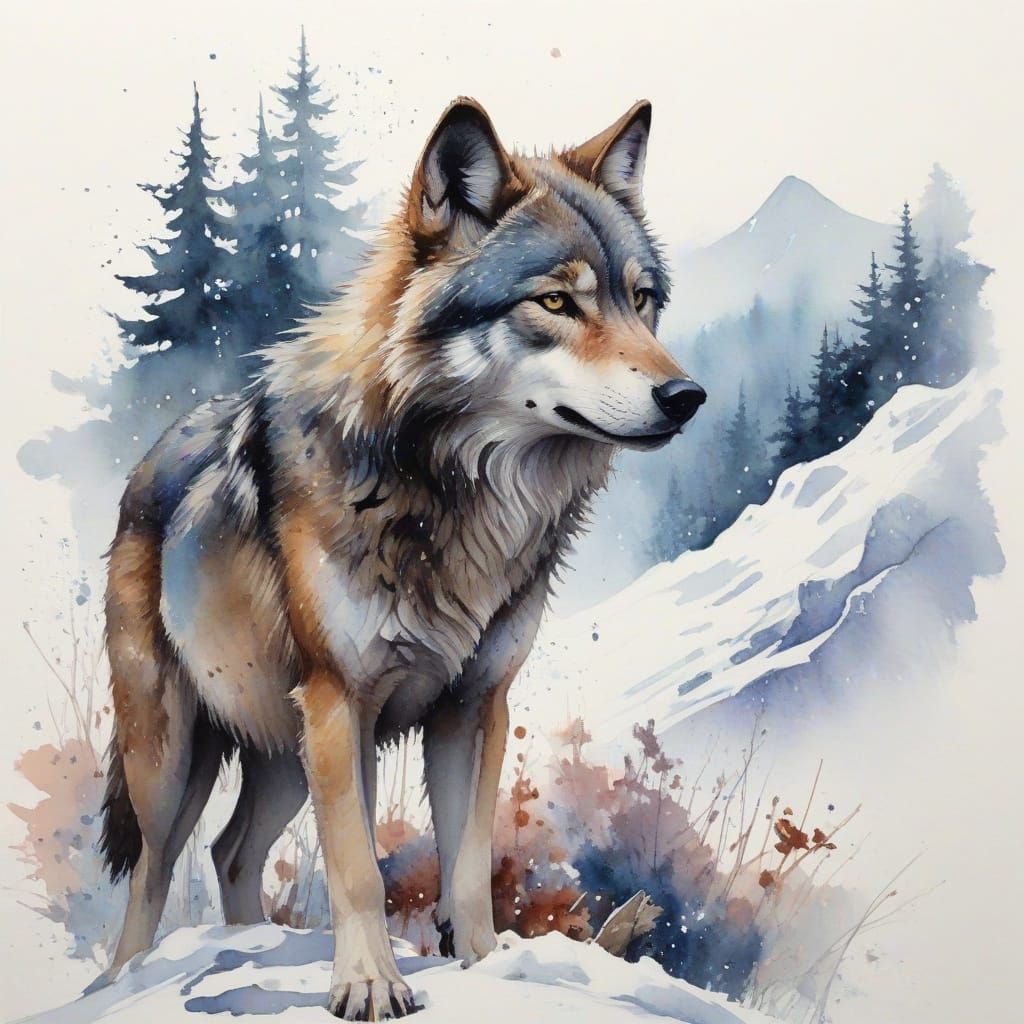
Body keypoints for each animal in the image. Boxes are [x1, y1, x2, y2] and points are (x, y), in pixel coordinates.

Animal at [97, 97, 705, 1019]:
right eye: (556, 302)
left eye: (642, 301)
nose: (687, 397)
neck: (455, 498)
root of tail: (151, 457)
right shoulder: (340, 701)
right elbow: (358, 870)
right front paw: (370, 984)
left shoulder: (473, 706)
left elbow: (466, 866)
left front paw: (484, 966)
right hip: (176, 760)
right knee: (151, 875)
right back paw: (127, 981)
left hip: (279, 751)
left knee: (231, 852)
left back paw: (253, 946)